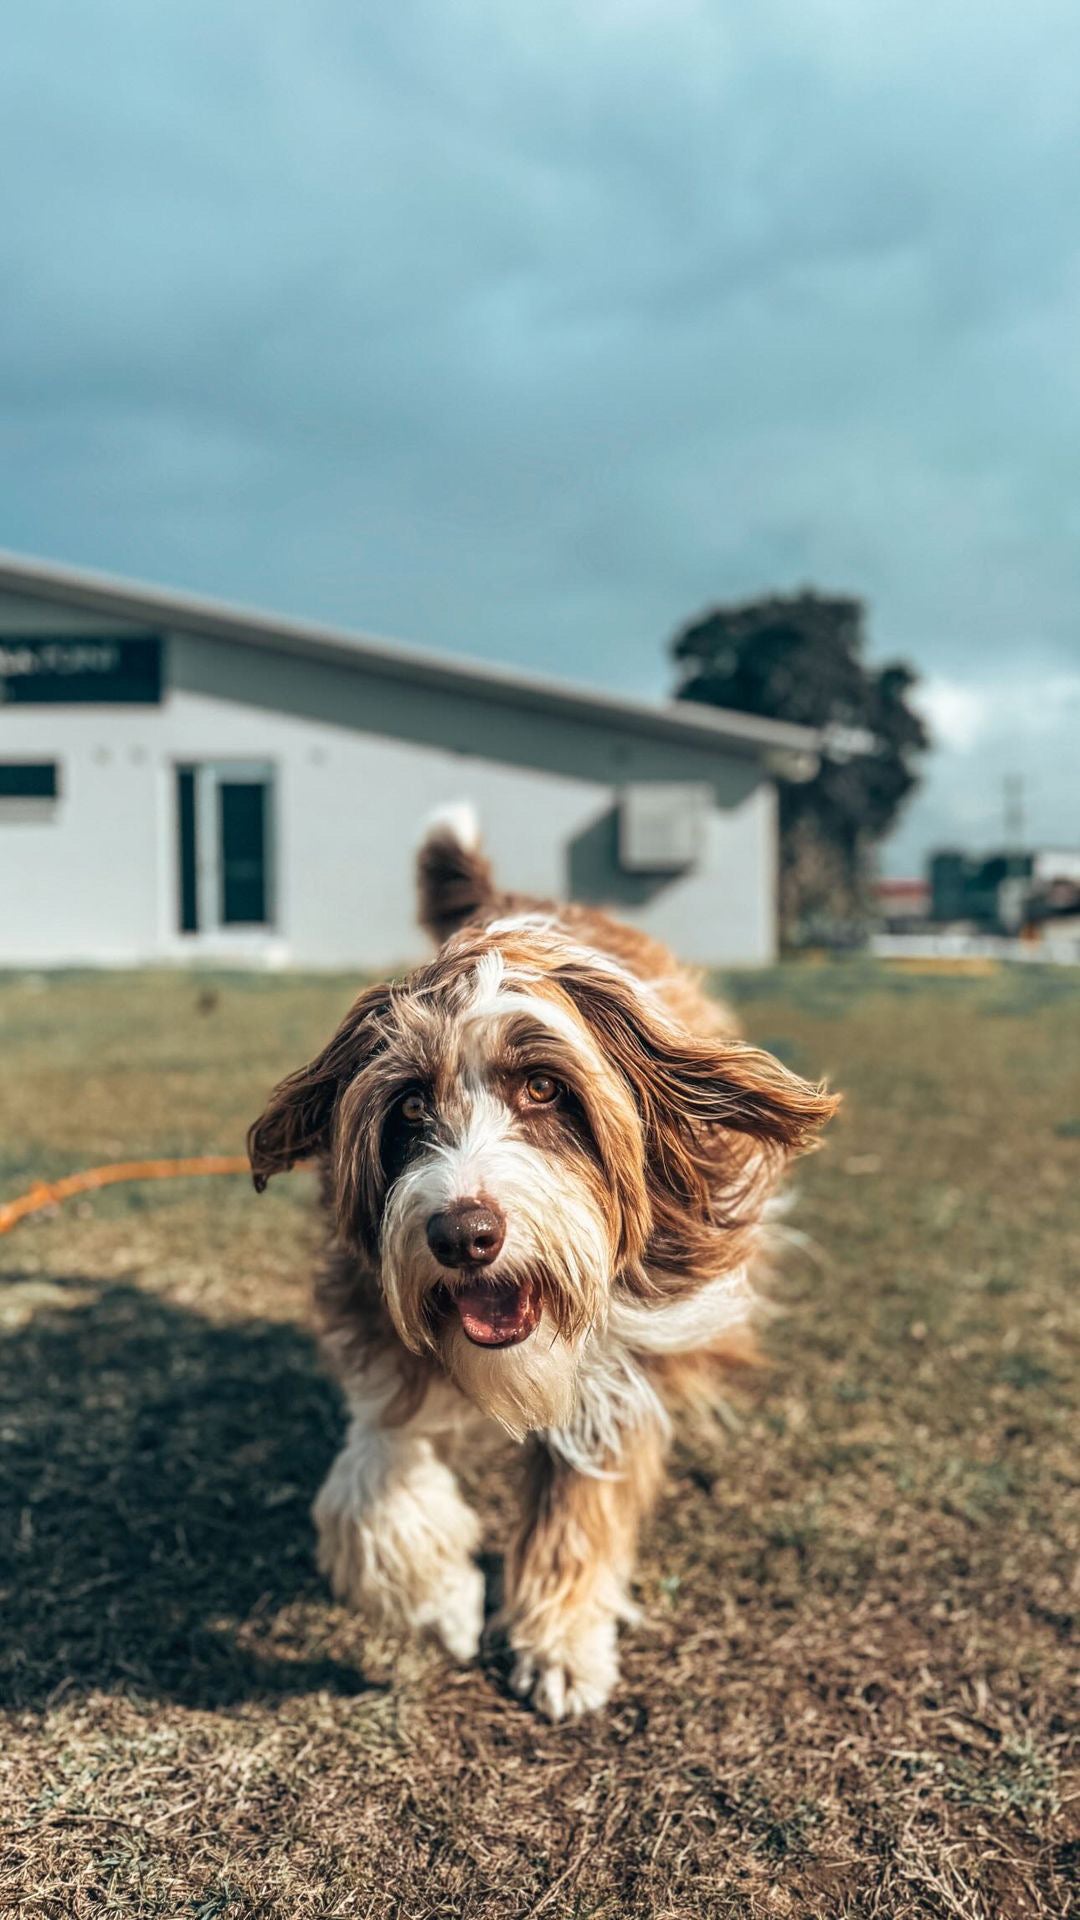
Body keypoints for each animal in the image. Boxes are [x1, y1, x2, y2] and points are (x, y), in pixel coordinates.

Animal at [247, 814, 837, 1728]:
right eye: (408, 1105)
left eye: (544, 1089)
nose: (464, 1235)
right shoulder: (379, 1317)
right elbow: (373, 1480)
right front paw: (446, 1602)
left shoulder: (633, 1350)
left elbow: (584, 1498)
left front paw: (559, 1642)